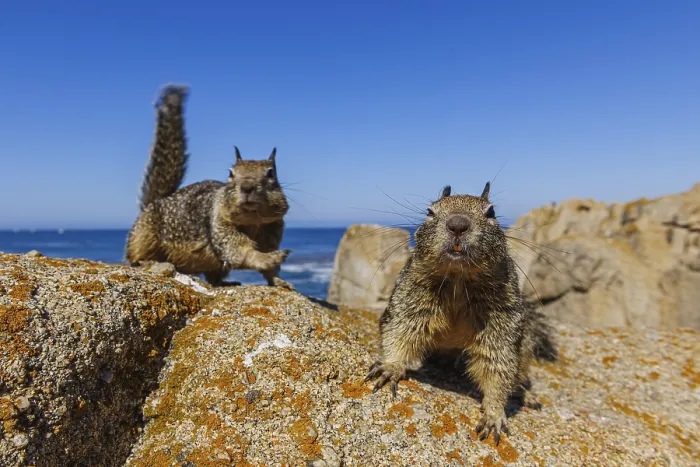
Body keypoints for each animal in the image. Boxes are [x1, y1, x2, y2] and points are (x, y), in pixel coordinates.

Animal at [125, 84, 294, 289]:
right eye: (230, 173)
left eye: (271, 173)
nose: (247, 187)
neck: (252, 221)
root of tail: (155, 201)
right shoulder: (219, 225)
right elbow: (240, 251)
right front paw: (268, 259)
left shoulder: (272, 231)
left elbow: (270, 270)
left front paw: (279, 280)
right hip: (144, 236)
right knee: (136, 256)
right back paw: (147, 262)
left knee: (214, 277)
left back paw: (227, 282)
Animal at [365, 182, 557, 444]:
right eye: (430, 211)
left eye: (491, 212)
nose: (457, 224)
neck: (458, 278)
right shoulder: (409, 296)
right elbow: (400, 329)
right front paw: (391, 366)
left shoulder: (502, 318)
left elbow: (498, 363)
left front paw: (494, 413)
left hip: (525, 347)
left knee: (519, 373)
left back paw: (526, 394)